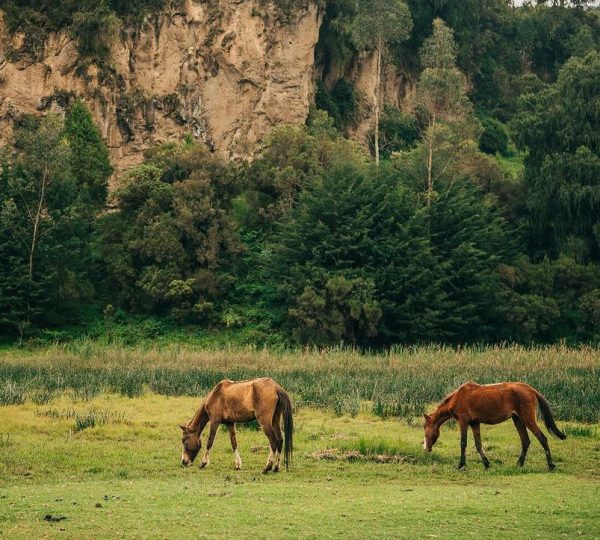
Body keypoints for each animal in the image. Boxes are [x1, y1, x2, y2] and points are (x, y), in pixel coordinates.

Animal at [422, 384, 568, 468]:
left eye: (424, 428)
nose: (426, 448)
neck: (458, 397)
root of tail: (531, 389)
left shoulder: (463, 422)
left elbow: (463, 443)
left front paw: (461, 465)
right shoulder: (475, 423)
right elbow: (478, 444)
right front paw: (486, 464)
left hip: (527, 419)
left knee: (542, 438)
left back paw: (550, 465)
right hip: (518, 420)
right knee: (525, 441)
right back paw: (519, 464)